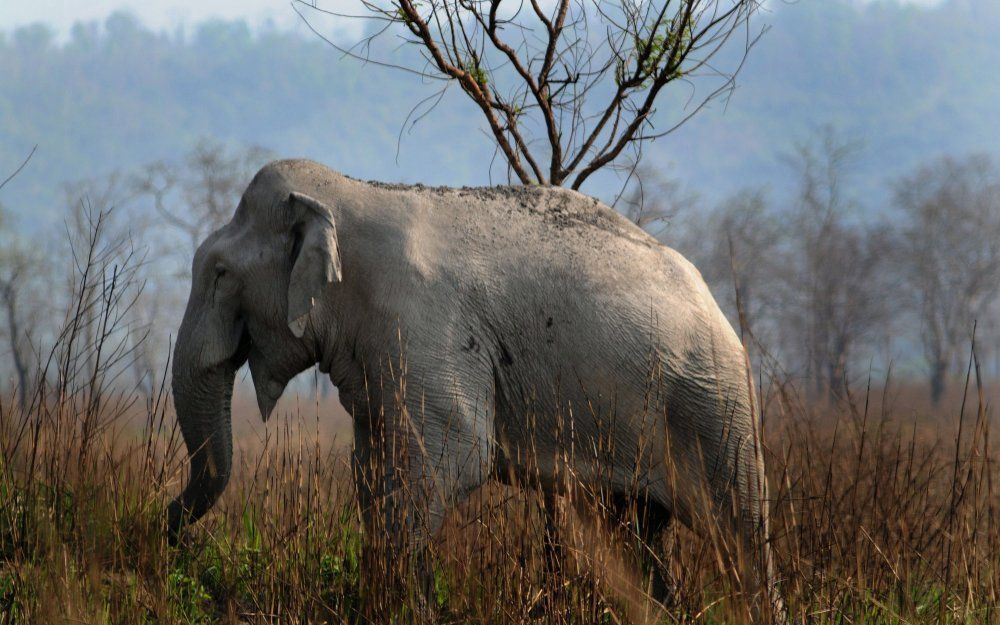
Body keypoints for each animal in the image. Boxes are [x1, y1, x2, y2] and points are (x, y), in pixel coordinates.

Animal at [168, 157, 784, 620]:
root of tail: (716, 306)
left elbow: (450, 462)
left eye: (219, 274)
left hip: (714, 407)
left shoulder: (425, 326)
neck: (347, 192)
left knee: (741, 534)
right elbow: (374, 471)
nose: (167, 535)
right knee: (635, 536)